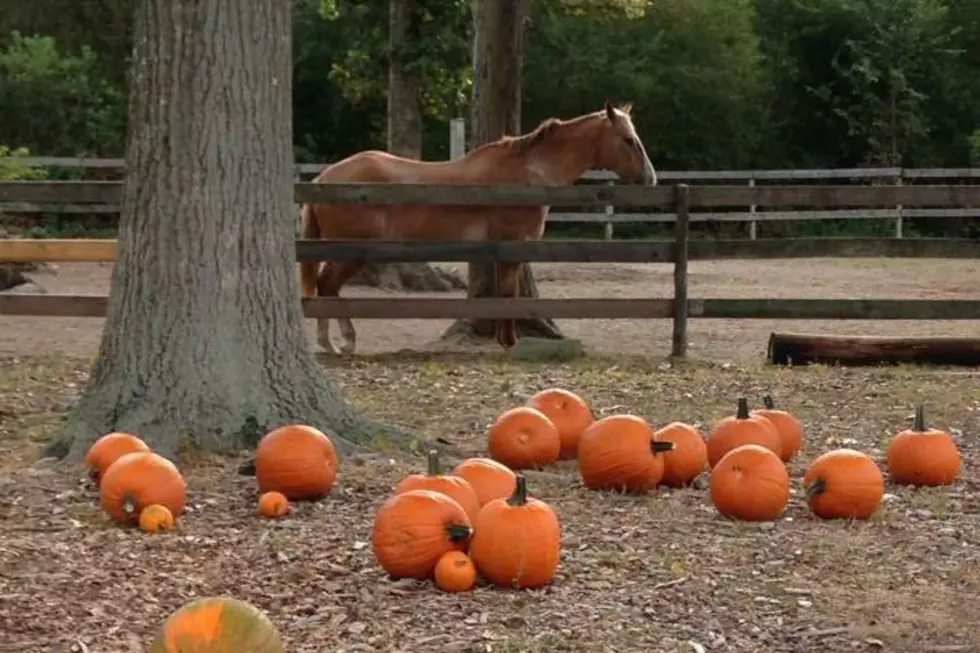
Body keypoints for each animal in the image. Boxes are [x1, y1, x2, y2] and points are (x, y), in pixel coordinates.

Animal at [294, 100, 656, 356]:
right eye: (628, 140)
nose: (650, 179)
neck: (528, 175)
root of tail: (324, 177)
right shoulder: (512, 250)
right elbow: (508, 296)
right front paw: (509, 343)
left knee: (325, 287)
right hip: (352, 252)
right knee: (327, 285)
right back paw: (342, 342)